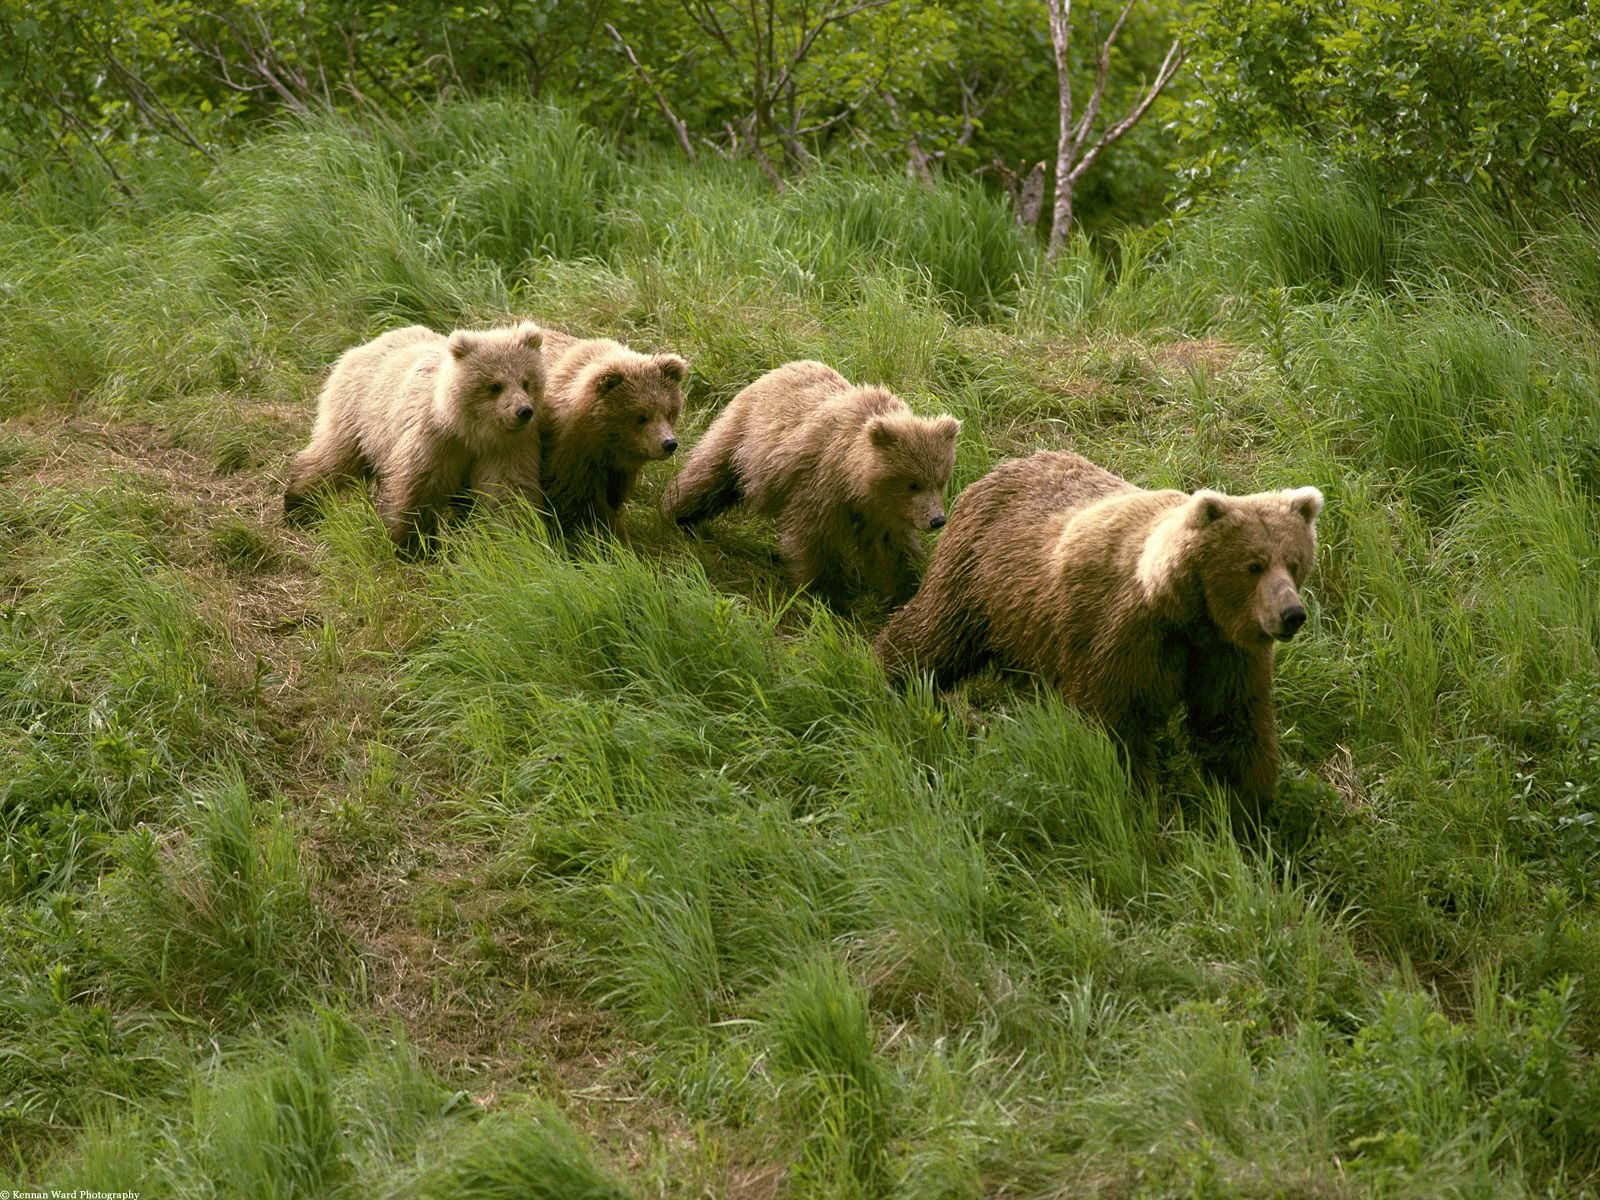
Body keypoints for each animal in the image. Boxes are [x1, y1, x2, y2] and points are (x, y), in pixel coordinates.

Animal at [283, 321, 546, 554]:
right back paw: (297, 505)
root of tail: (363, 346)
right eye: (495, 385)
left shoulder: (505, 447)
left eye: (526, 381)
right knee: (333, 458)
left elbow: (508, 491)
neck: (469, 431)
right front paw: (413, 546)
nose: (523, 411)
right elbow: (417, 487)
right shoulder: (433, 440)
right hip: (358, 416)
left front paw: (514, 538)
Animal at [535, 329, 688, 538]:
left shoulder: (617, 471)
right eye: (641, 417)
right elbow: (575, 501)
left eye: (669, 412)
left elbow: (613, 498)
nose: (669, 444)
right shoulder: (570, 456)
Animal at [661, 359, 961, 609]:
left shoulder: (882, 513)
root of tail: (779, 368)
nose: (937, 520)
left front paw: (906, 590)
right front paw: (827, 594)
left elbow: (893, 550)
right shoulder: (820, 482)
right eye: (913, 484)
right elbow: (812, 536)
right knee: (710, 473)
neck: (855, 480)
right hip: (743, 437)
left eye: (940, 481)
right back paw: (677, 513)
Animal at [875, 450, 1323, 821]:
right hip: (977, 580)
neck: (1183, 613)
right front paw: (1136, 799)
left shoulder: (1222, 652)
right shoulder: (1123, 637)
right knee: (932, 635)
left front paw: (1247, 809)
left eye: (1294, 561)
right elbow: (1115, 726)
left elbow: (1232, 725)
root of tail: (1003, 466)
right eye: (1253, 565)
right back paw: (891, 674)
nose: (1292, 614)